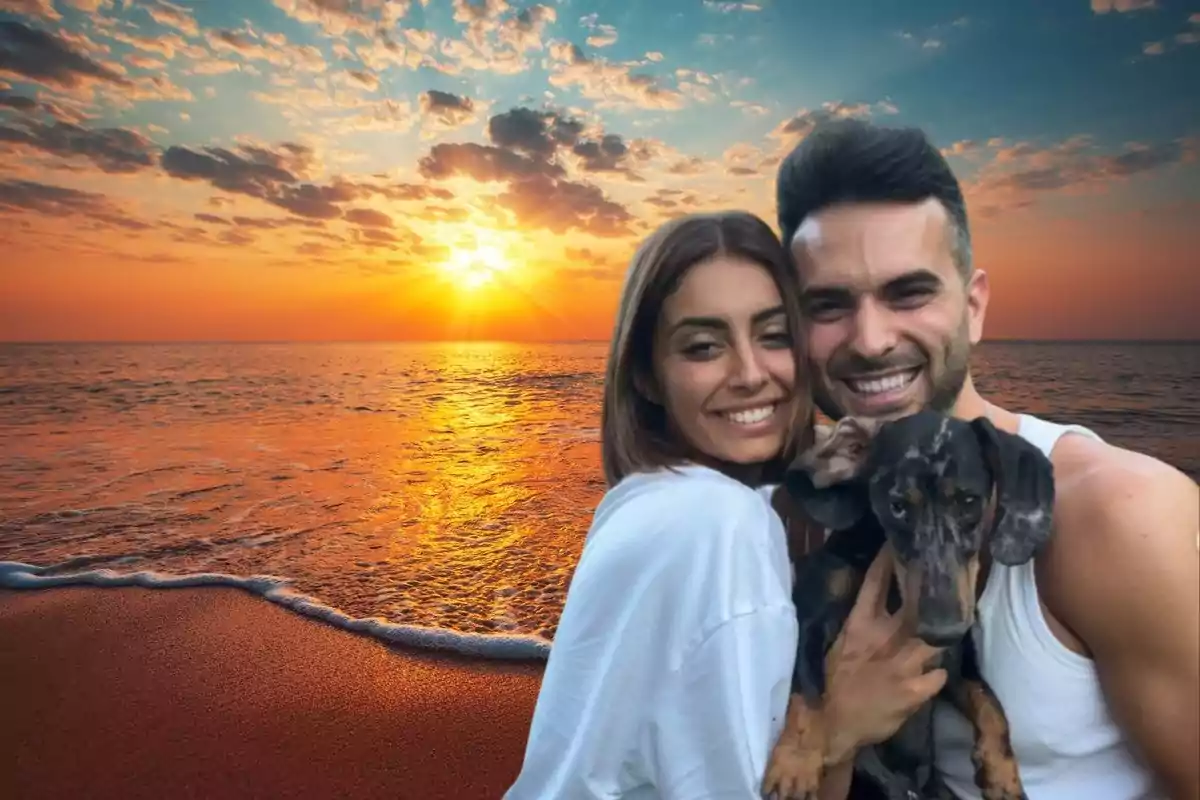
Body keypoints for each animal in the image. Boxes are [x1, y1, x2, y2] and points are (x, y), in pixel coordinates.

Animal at [763, 410, 1056, 800]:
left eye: (969, 502)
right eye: (897, 506)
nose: (943, 630)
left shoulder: (950, 665)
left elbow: (990, 702)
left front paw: (1002, 774)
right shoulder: (810, 614)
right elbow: (808, 689)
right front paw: (795, 762)